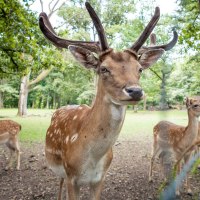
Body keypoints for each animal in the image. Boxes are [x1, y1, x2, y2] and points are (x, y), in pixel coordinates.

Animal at [39, 1, 178, 200]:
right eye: (103, 68)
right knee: (59, 185)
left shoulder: (100, 178)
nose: (135, 91)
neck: (92, 158)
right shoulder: (71, 177)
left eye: (139, 69)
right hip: (59, 169)